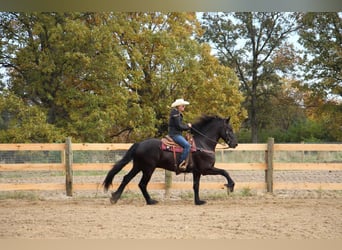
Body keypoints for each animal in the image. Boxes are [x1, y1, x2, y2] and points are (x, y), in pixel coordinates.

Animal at [103, 115, 238, 205]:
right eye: (230, 129)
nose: (235, 144)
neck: (202, 144)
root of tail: (139, 144)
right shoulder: (206, 169)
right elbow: (225, 171)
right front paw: (230, 186)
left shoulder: (197, 172)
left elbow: (196, 186)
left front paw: (198, 201)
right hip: (148, 169)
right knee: (142, 184)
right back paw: (150, 201)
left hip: (138, 166)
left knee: (126, 178)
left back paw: (115, 197)